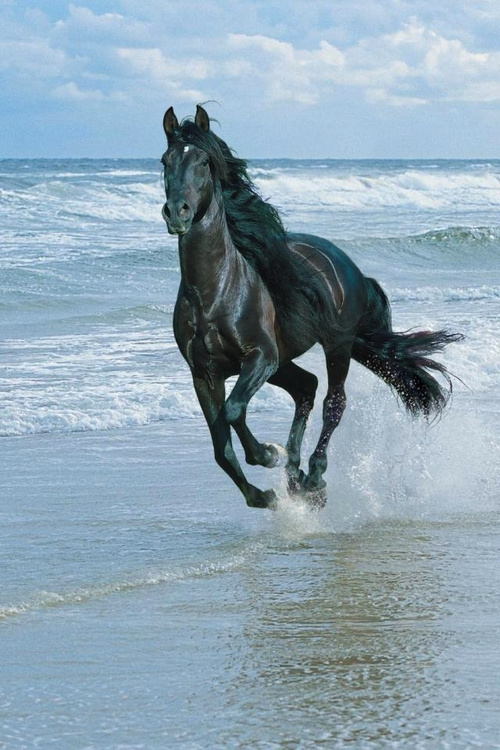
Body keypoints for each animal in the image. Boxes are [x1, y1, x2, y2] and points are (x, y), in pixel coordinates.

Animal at [161, 105, 462, 509]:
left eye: (204, 161)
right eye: (165, 161)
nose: (177, 212)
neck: (214, 293)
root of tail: (347, 265)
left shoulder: (260, 357)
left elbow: (234, 411)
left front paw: (268, 454)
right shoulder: (204, 373)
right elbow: (221, 448)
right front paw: (264, 494)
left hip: (336, 346)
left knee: (333, 402)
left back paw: (314, 476)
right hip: (285, 362)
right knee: (306, 387)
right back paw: (295, 476)